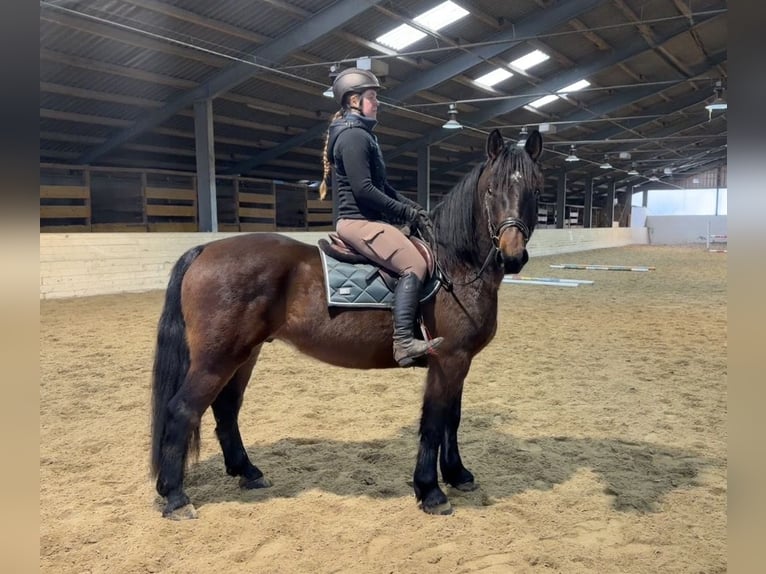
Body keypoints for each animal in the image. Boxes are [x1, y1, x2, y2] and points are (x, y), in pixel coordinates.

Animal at [150, 128, 544, 519]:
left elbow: (453, 417)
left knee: (227, 408)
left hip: (244, 355)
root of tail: (204, 250)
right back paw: (175, 497)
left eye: (535, 190)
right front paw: (430, 491)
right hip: (217, 358)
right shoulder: (448, 360)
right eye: (491, 190)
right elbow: (434, 421)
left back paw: (247, 472)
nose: (512, 256)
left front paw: (458, 474)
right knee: (182, 410)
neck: (455, 265)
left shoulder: (460, 361)